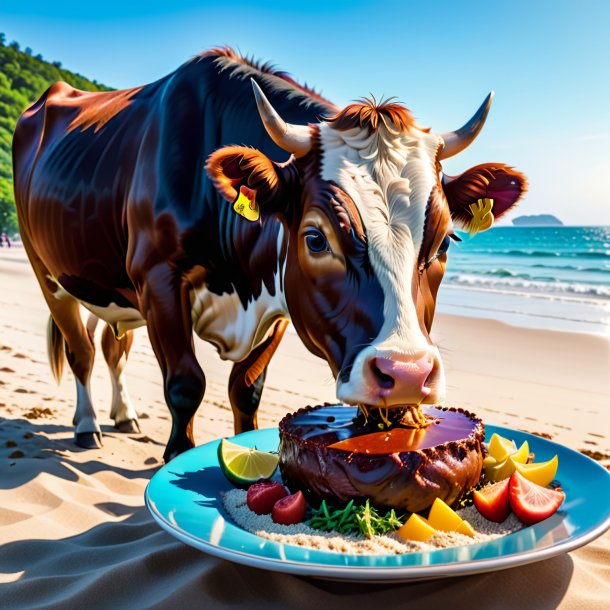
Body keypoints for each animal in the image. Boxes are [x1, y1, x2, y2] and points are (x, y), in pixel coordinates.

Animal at [11, 47, 524, 458]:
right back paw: (87, 425)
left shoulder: (277, 298)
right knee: (80, 351)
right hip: (47, 271)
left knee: (112, 345)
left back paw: (123, 414)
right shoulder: (156, 280)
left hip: (109, 285)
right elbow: (185, 384)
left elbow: (247, 389)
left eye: (444, 241)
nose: (407, 375)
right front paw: (176, 455)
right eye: (315, 239)